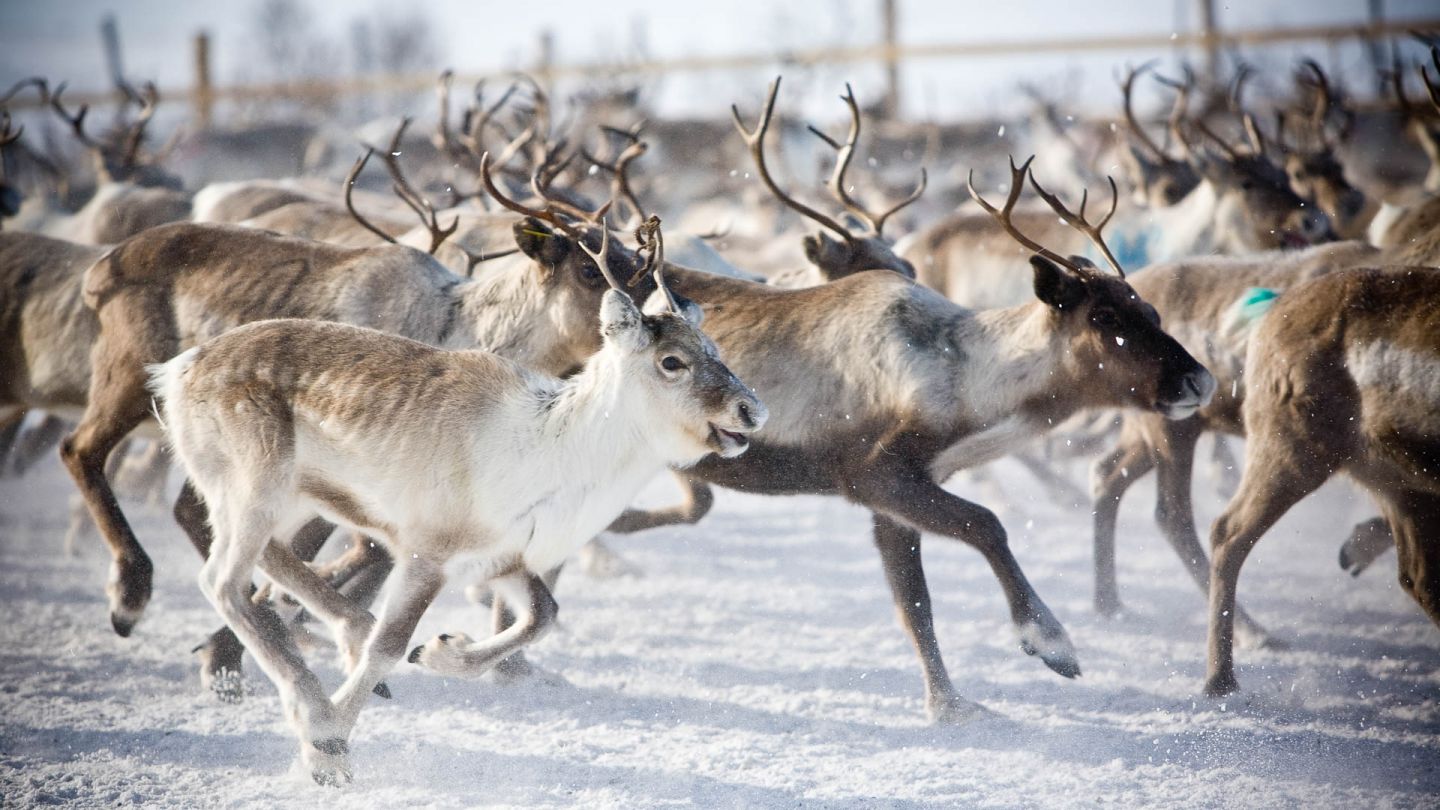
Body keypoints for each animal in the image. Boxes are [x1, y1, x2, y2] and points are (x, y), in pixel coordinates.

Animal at [149, 230, 766, 784]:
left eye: (716, 352)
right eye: (672, 361)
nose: (752, 410)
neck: (558, 451)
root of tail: (176, 371)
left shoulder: (505, 555)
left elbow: (543, 616)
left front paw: (442, 649)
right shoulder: (428, 550)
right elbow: (391, 645)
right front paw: (326, 749)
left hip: (293, 496)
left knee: (270, 560)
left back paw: (344, 640)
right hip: (256, 481)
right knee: (223, 581)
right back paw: (315, 703)